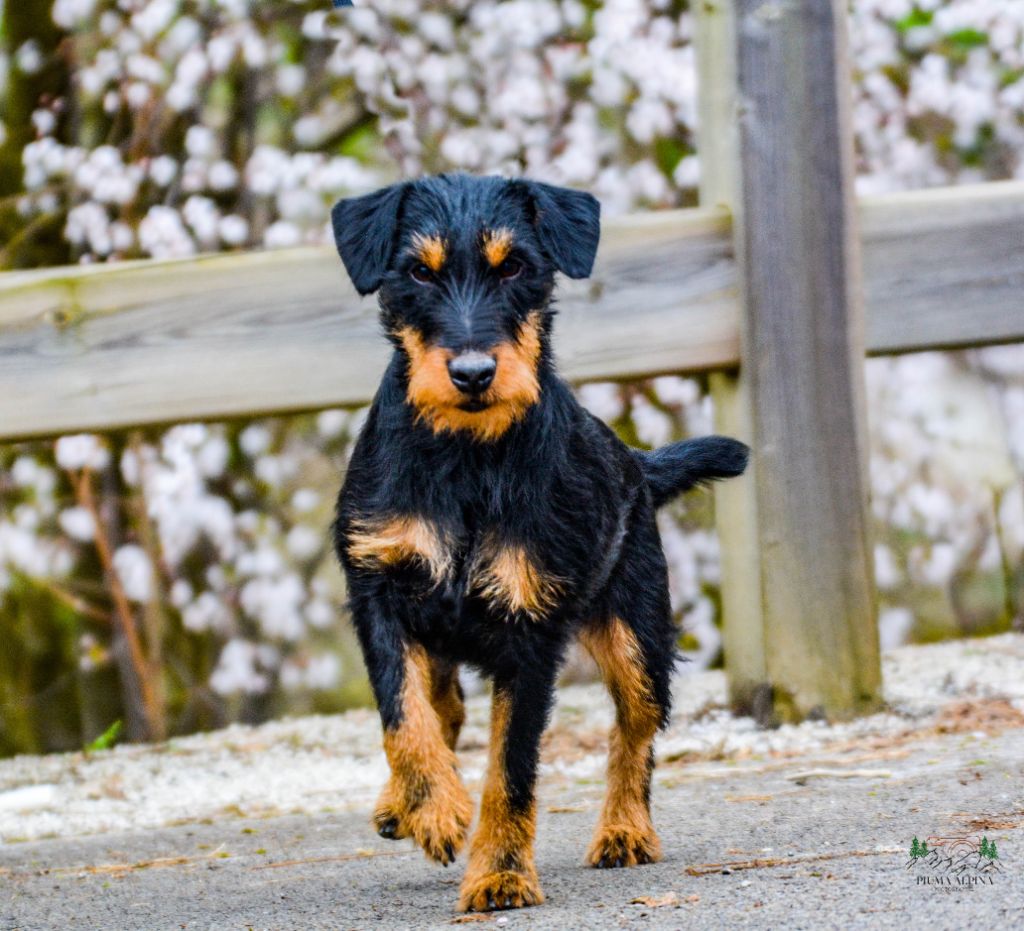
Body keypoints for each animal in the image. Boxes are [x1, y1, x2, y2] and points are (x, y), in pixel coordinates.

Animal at [331, 172, 749, 909]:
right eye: (417, 271)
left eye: (515, 267)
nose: (472, 374)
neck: (465, 455)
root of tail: (636, 462)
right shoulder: (377, 587)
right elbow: (401, 713)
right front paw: (432, 807)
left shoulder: (531, 632)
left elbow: (512, 767)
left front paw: (499, 872)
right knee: (441, 701)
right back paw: (401, 803)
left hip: (637, 636)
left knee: (636, 730)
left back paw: (625, 830)